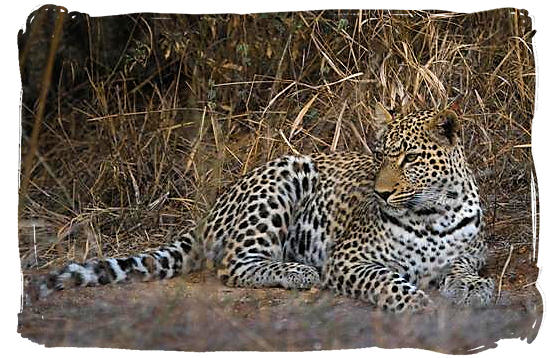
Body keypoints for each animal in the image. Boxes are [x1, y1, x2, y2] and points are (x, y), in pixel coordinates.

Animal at [30, 104, 496, 314]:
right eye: (380, 156)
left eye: (410, 158)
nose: (380, 194)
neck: (434, 214)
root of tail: (210, 211)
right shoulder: (349, 259)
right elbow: (392, 281)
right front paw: (419, 304)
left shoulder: (473, 251)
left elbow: (463, 266)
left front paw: (474, 287)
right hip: (288, 173)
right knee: (235, 264)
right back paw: (297, 272)